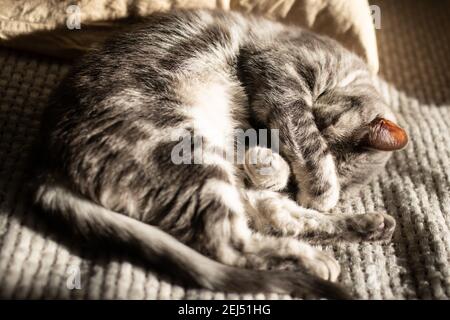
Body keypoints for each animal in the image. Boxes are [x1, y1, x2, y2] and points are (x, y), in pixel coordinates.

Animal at [34, 10, 408, 300]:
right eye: (324, 125)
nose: (296, 188)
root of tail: (46, 167)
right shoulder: (280, 74)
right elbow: (303, 136)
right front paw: (315, 185)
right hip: (189, 153)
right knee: (233, 244)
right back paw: (316, 260)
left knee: (271, 221)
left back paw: (370, 225)